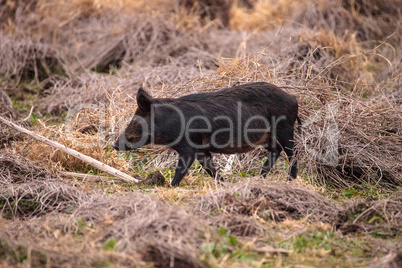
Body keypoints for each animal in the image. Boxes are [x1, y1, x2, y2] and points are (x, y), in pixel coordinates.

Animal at [111, 82, 300, 186]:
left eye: (136, 120)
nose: (114, 144)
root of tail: (293, 98)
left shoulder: (188, 147)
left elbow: (182, 169)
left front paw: (170, 186)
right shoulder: (202, 150)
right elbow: (210, 168)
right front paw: (223, 184)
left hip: (284, 129)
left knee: (293, 153)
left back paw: (290, 180)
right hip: (269, 137)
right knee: (275, 152)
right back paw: (261, 179)